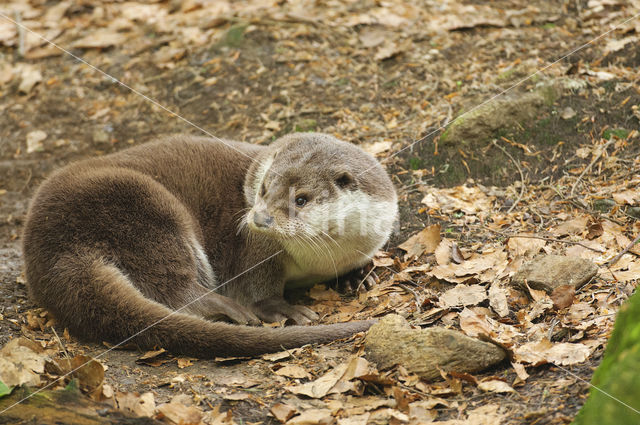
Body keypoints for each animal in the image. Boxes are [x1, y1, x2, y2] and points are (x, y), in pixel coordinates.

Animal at [22, 133, 398, 358]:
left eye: (301, 199)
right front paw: (283, 309)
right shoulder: (256, 249)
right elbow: (256, 285)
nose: (260, 219)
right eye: (264, 189)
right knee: (173, 287)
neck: (321, 260)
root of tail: (51, 249)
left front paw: (359, 275)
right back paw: (225, 309)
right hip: (142, 204)